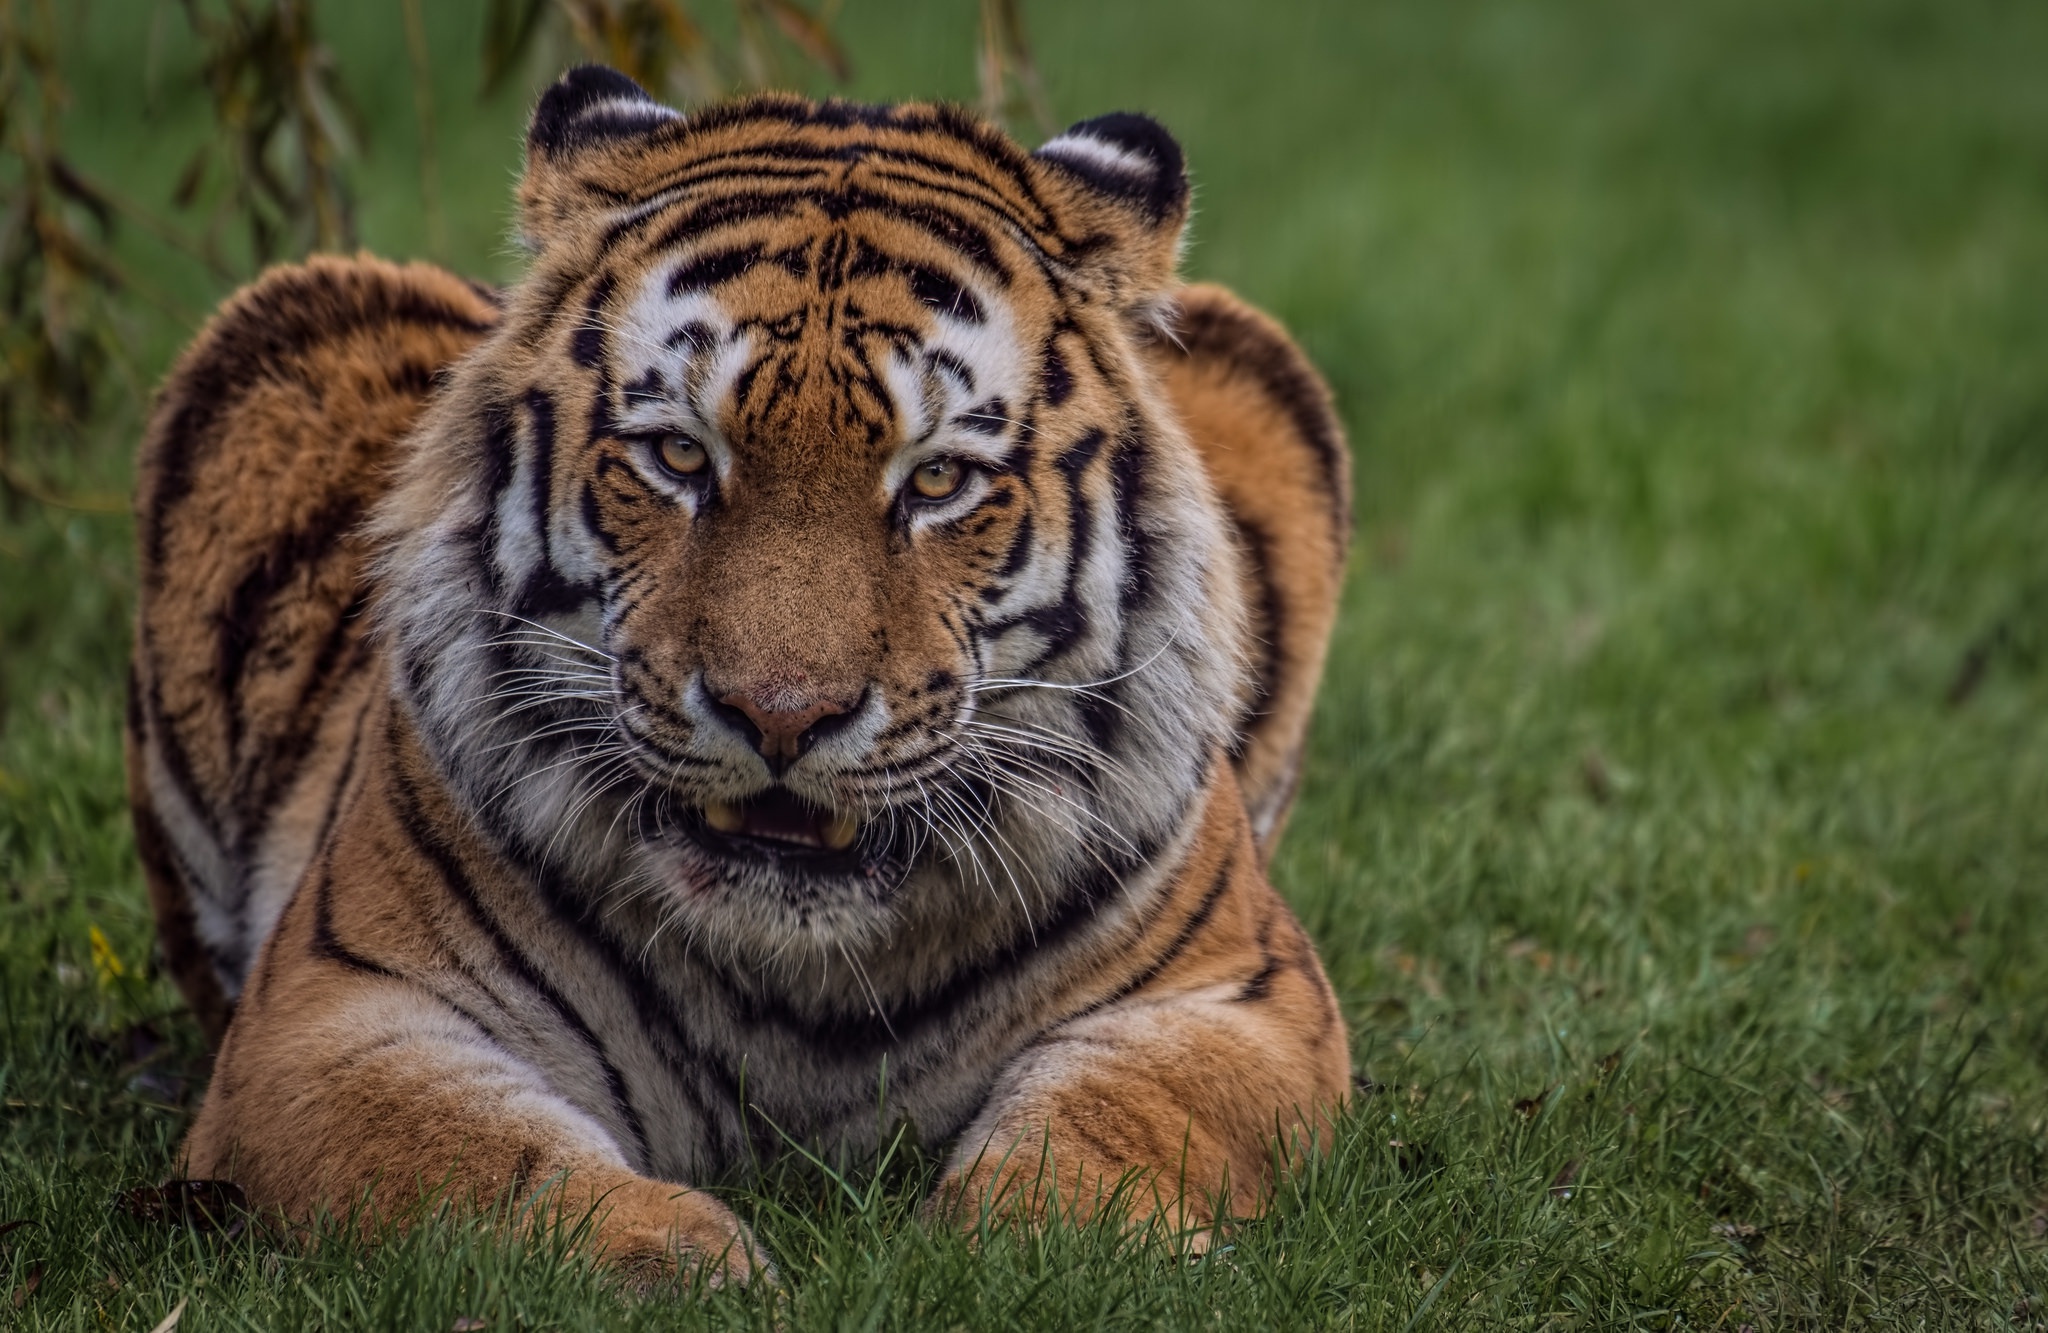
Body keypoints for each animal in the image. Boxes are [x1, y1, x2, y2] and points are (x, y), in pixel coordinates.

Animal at [123, 65, 1343, 1285]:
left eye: (937, 480)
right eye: (678, 456)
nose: (781, 716)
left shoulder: (1235, 995)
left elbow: (1114, 1120)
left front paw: (1032, 1245)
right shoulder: (332, 1014)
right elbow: (472, 1159)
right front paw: (675, 1257)